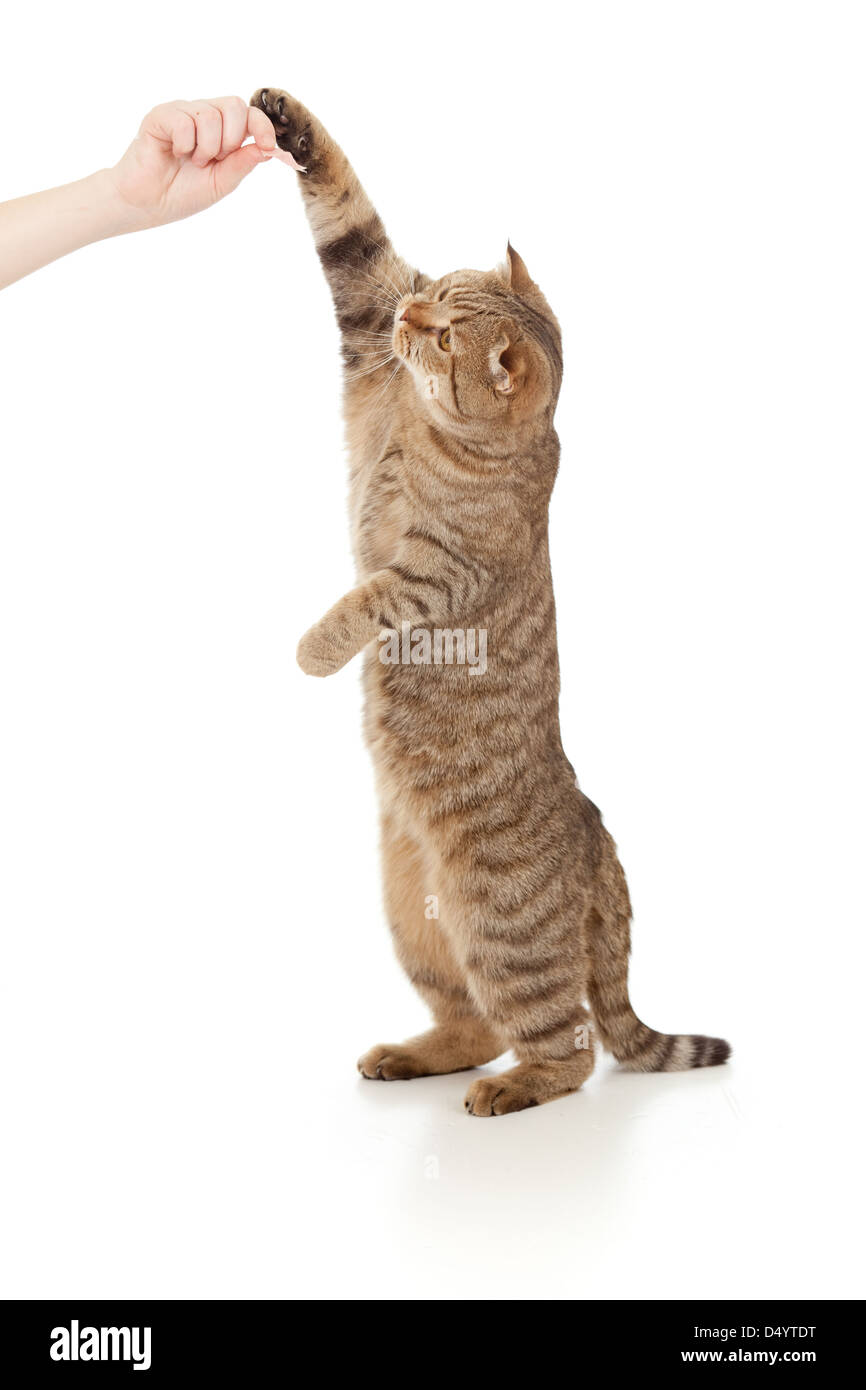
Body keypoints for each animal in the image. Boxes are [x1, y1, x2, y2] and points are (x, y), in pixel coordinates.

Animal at [252, 86, 733, 1112]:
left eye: (442, 333)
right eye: (434, 289)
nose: (412, 309)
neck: (438, 428)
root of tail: (598, 842)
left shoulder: (433, 578)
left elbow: (362, 601)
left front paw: (313, 649)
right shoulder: (366, 321)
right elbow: (346, 212)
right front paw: (284, 118)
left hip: (499, 928)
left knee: (570, 1046)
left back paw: (514, 1088)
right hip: (413, 915)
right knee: (469, 1024)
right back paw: (414, 1057)